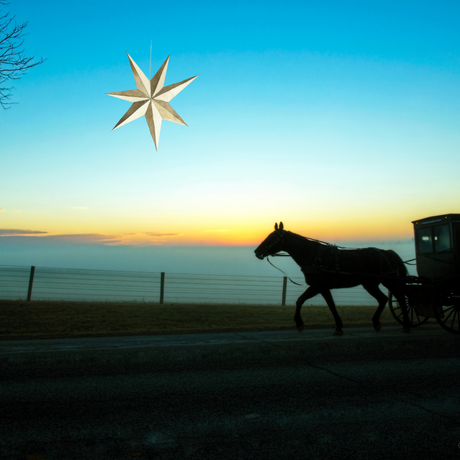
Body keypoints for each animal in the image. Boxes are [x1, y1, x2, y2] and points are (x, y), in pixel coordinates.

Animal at [253, 222, 412, 334]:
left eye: (273, 237)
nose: (257, 251)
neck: (313, 257)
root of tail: (387, 253)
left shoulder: (319, 286)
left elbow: (310, 302)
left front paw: (300, 323)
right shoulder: (320, 287)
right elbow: (321, 303)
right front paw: (337, 326)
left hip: (389, 281)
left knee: (400, 299)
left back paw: (406, 325)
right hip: (370, 284)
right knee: (383, 299)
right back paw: (377, 322)